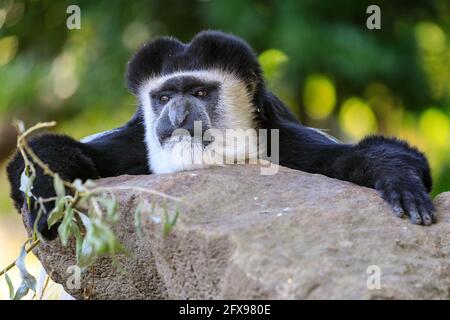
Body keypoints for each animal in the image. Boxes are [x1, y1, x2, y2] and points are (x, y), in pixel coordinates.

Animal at [6, 31, 436, 240]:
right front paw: (45, 201)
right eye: (165, 97)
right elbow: (43, 152)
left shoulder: (282, 140)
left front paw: (403, 184)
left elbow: (355, 157)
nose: (177, 115)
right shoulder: (135, 143)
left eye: (199, 93)